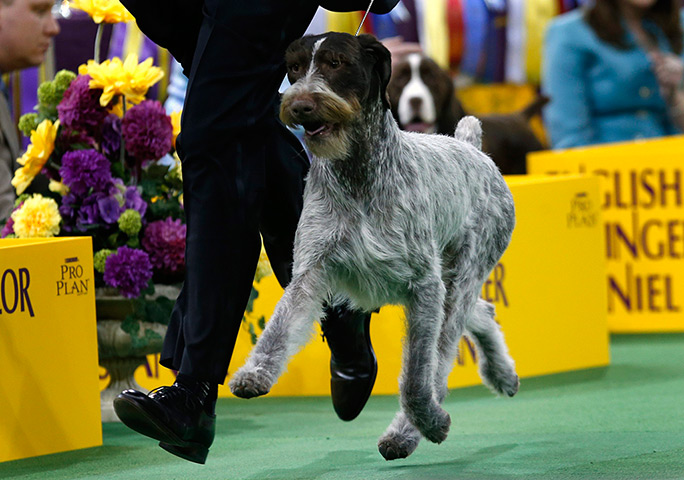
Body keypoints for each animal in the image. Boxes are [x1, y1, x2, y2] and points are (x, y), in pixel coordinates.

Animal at [230, 31, 520, 460]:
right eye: (294, 68)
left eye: (336, 63)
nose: (299, 105)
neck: (358, 175)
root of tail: (471, 147)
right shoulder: (311, 272)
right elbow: (279, 329)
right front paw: (255, 373)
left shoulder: (425, 288)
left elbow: (417, 378)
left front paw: (429, 423)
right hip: (451, 288)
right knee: (481, 313)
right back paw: (503, 374)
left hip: (460, 278)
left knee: (444, 355)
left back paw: (410, 430)